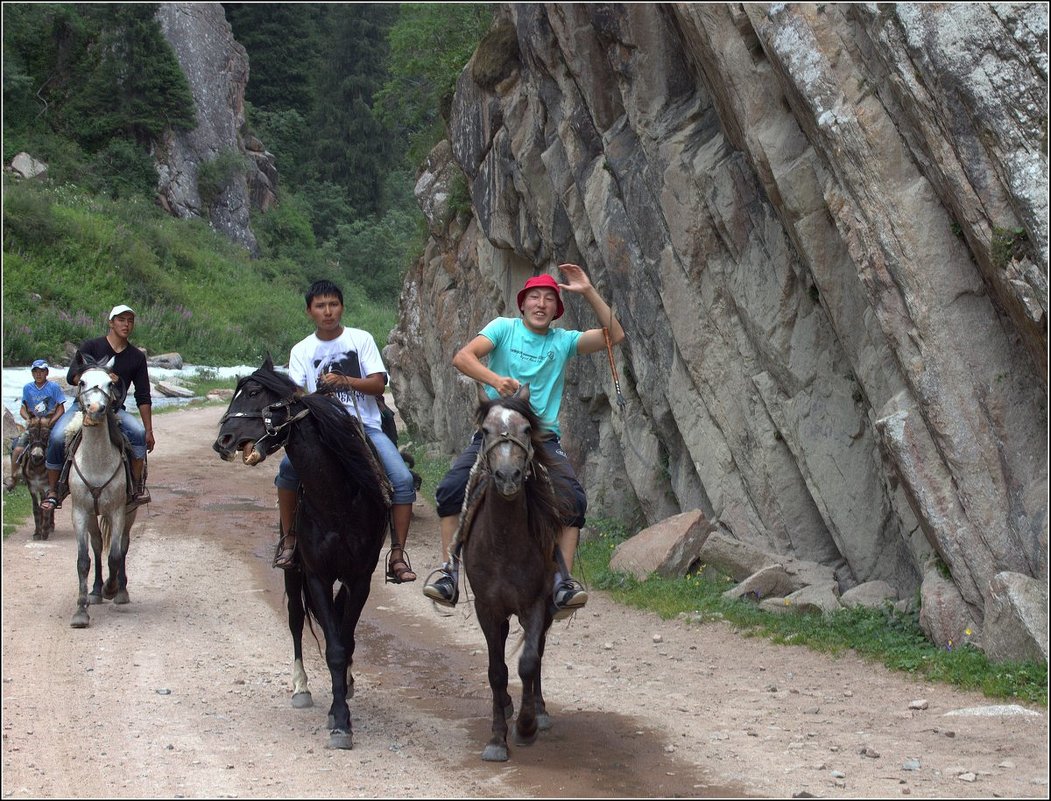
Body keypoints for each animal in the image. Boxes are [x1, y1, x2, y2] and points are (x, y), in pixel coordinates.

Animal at [68, 359, 137, 626]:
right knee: (97, 545)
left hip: (129, 513)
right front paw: (81, 611)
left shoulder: (117, 511)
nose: (96, 409)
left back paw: (120, 590)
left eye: (110, 383)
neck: (96, 462)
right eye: (82, 382)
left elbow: (115, 556)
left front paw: (112, 588)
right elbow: (83, 560)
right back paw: (96, 591)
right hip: (91, 515)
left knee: (124, 545)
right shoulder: (79, 512)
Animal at [212, 355, 390, 748]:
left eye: (253, 393)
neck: (337, 499)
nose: (222, 441)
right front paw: (339, 721)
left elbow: (344, 639)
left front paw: (342, 704)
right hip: (293, 575)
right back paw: (301, 688)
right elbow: (334, 647)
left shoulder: (359, 578)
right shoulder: (316, 575)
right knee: (296, 620)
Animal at [460, 386, 571, 761]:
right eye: (485, 431)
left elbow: (528, 663)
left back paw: (537, 710)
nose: (507, 477)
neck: (504, 543)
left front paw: (526, 726)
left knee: (537, 653)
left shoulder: (535, 604)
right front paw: (497, 740)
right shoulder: (488, 608)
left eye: (525, 429)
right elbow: (497, 672)